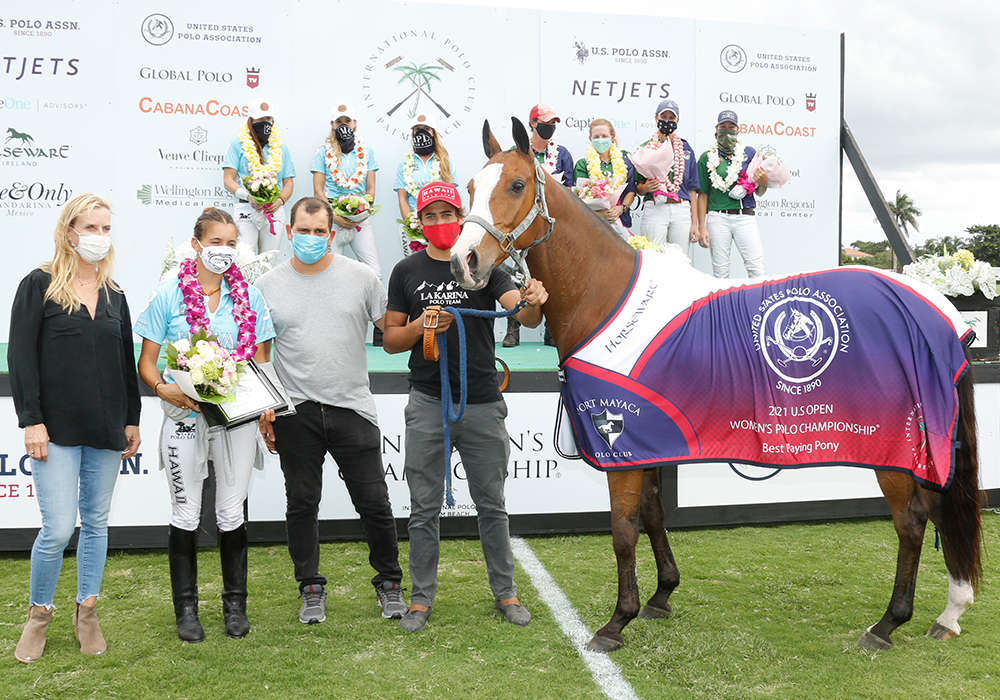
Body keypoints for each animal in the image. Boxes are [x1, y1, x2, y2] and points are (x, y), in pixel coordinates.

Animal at [450, 119, 980, 652]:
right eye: (471, 187)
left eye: (516, 185)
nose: (464, 261)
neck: (605, 295)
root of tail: (941, 310)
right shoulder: (650, 443)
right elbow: (653, 515)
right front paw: (661, 595)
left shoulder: (623, 446)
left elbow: (623, 530)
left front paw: (616, 622)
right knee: (939, 508)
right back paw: (950, 612)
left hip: (892, 451)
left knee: (912, 521)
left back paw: (889, 622)